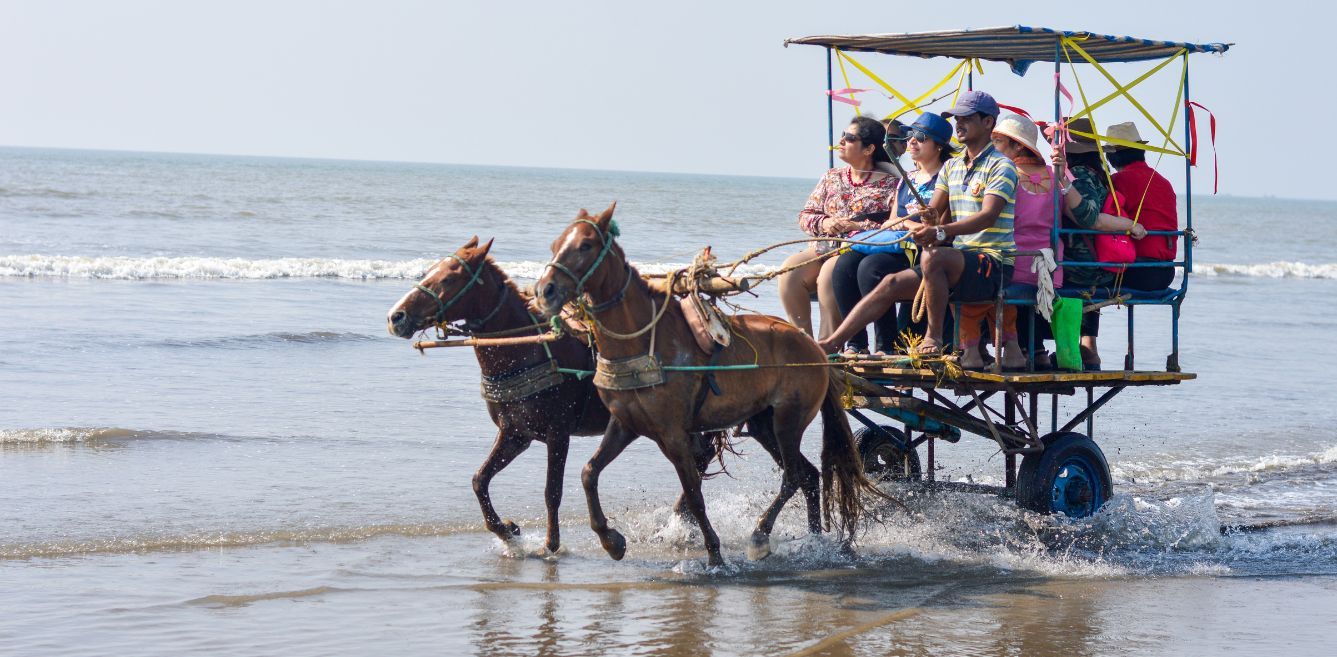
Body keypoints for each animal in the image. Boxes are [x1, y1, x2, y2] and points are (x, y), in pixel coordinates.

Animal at [387, 239, 721, 553]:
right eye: (431, 270)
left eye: (448, 278)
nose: (396, 316)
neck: (528, 348)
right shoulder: (515, 433)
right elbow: (479, 480)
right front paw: (508, 531)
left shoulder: (558, 433)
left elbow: (552, 491)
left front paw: (550, 544)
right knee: (700, 457)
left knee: (699, 458)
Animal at [537, 204, 882, 564]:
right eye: (555, 244)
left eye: (586, 245)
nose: (545, 290)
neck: (645, 341)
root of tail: (815, 348)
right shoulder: (625, 424)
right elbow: (589, 473)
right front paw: (611, 539)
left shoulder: (673, 434)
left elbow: (693, 493)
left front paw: (714, 554)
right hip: (764, 424)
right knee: (809, 476)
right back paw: (815, 541)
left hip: (789, 421)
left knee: (793, 476)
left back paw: (760, 535)